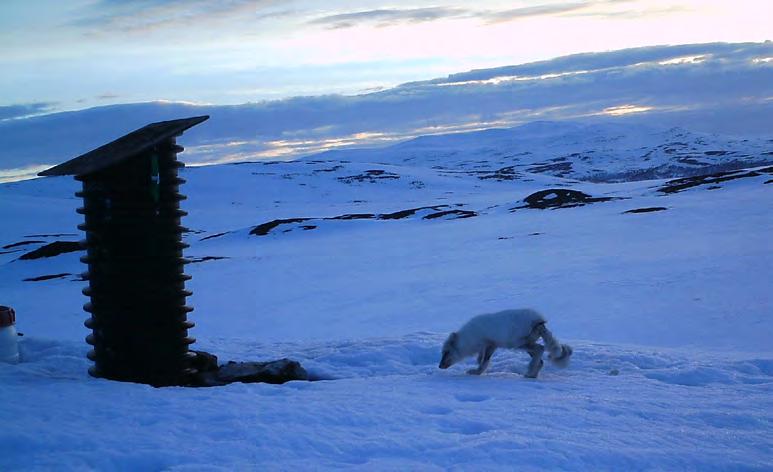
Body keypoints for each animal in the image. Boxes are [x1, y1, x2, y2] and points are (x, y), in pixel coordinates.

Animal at [438, 308, 568, 378]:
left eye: (446, 352)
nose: (439, 366)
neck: (468, 338)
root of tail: (538, 319)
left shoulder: (488, 344)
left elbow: (484, 361)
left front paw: (476, 371)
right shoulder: (490, 345)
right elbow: (483, 360)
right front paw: (477, 368)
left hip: (519, 344)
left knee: (540, 349)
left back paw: (530, 371)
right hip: (526, 345)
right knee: (540, 360)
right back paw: (532, 375)